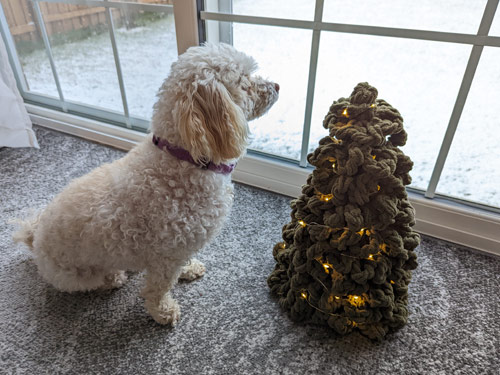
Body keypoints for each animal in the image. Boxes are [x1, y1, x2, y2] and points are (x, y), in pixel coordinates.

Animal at [13, 43, 280, 326]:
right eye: (244, 80)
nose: (277, 85)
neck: (181, 158)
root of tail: (35, 238)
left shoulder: (178, 251)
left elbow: (180, 266)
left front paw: (188, 269)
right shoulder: (166, 256)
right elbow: (158, 289)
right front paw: (163, 312)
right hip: (76, 275)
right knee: (98, 280)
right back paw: (114, 277)